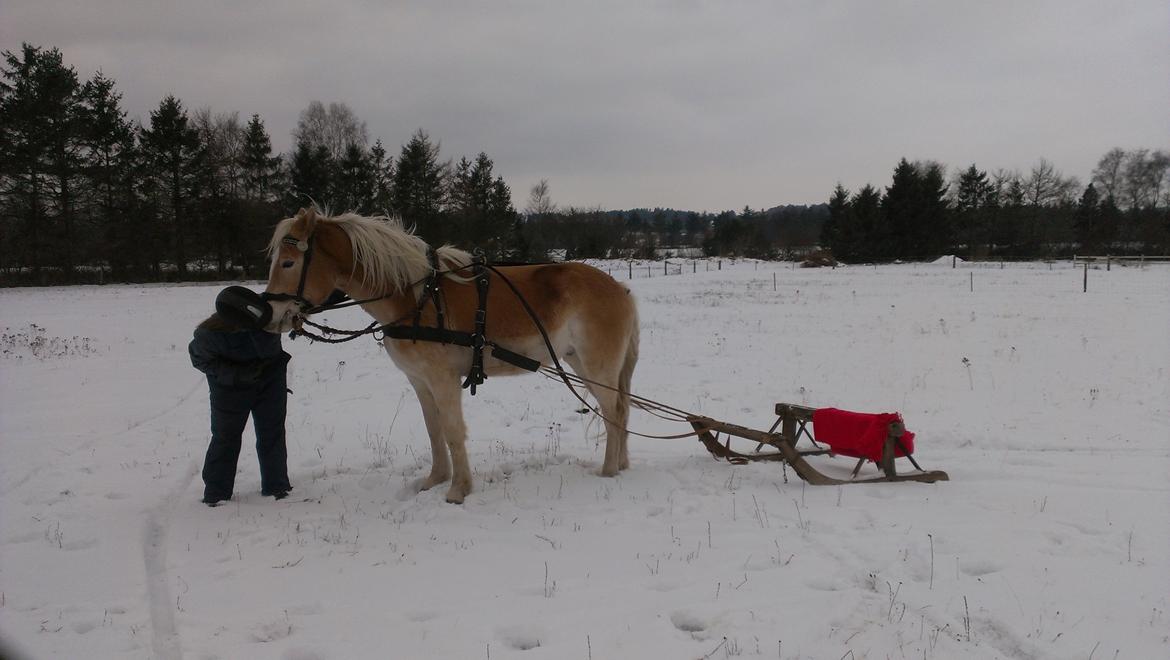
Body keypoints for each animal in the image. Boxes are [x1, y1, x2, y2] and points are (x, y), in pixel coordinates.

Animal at [263, 208, 641, 503]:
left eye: (289, 262)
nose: (272, 315)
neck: (415, 298)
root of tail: (621, 289)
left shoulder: (443, 379)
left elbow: (453, 430)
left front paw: (459, 490)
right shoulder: (419, 381)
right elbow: (434, 430)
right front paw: (435, 479)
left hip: (596, 367)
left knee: (614, 412)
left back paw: (608, 470)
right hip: (580, 362)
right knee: (621, 410)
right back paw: (621, 464)